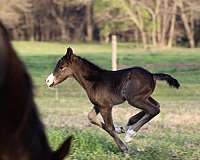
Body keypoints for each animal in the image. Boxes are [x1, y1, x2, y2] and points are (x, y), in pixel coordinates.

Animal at [46, 47, 180, 152]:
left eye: (62, 67)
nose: (48, 81)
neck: (94, 81)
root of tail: (152, 75)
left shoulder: (105, 106)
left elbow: (109, 127)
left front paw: (124, 148)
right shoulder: (98, 105)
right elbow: (92, 118)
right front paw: (119, 129)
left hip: (133, 99)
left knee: (153, 110)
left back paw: (130, 134)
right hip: (143, 97)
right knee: (156, 105)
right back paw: (129, 123)